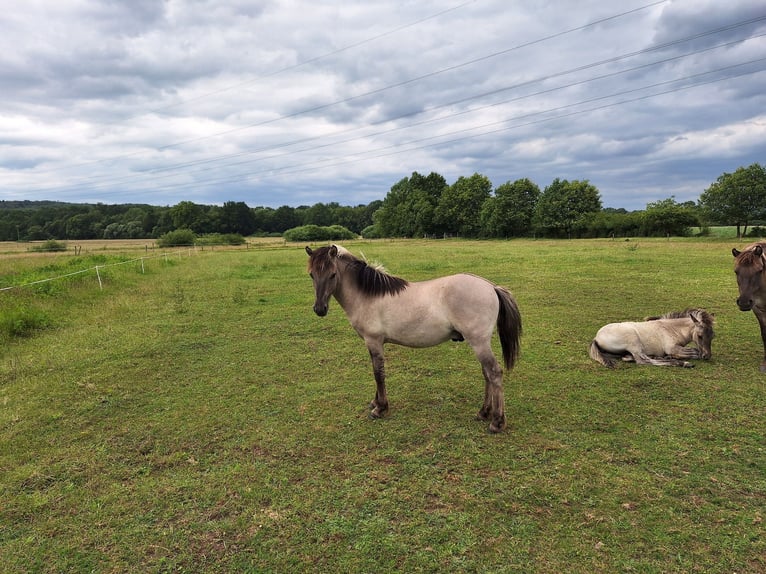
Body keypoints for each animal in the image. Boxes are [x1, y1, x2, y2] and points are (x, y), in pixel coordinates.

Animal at [306, 245, 520, 434]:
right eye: (312, 275)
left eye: (333, 274)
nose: (319, 309)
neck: (366, 296)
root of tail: (491, 287)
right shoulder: (372, 343)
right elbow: (376, 372)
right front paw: (375, 402)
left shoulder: (374, 341)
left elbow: (378, 373)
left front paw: (380, 408)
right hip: (480, 343)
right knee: (487, 374)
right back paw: (483, 412)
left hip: (478, 342)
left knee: (494, 373)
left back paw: (497, 422)